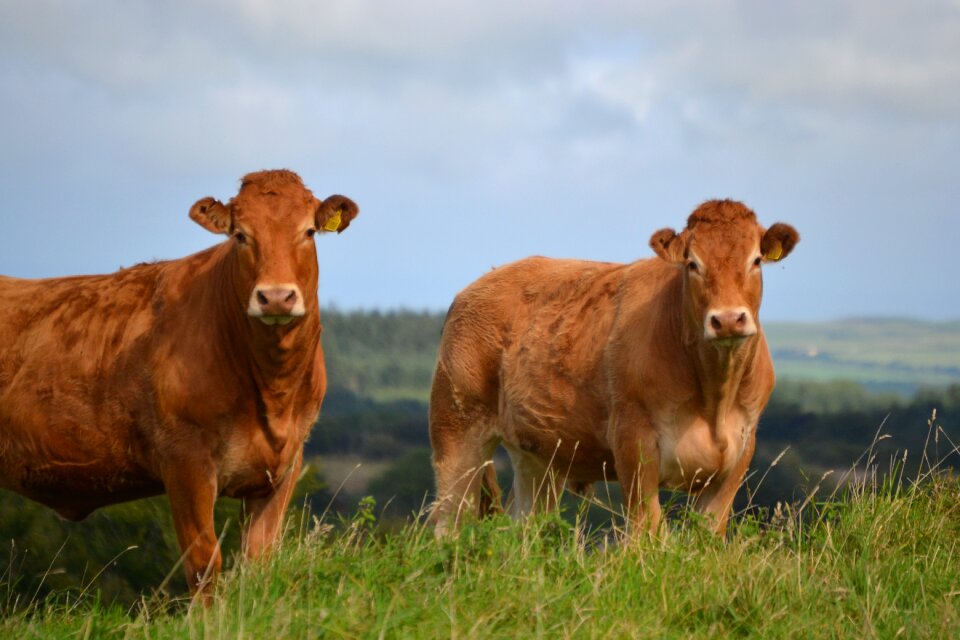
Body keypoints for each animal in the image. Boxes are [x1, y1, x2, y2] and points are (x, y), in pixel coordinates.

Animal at [0, 170, 358, 596]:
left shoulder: (283, 466)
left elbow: (258, 561)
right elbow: (204, 563)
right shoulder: (185, 460)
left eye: (308, 231)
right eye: (240, 235)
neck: (273, 392)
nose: (275, 297)